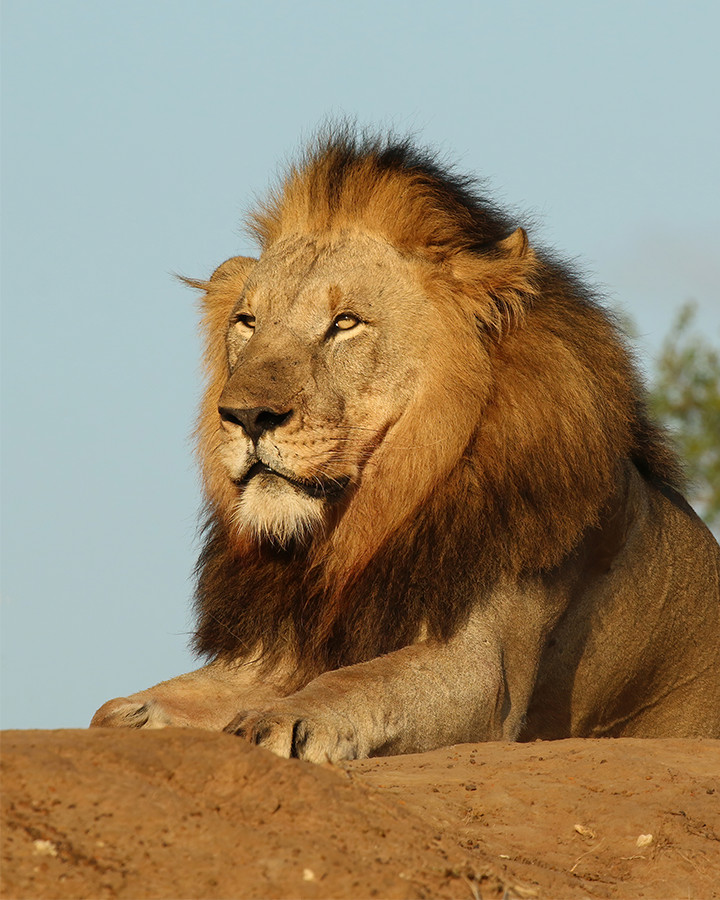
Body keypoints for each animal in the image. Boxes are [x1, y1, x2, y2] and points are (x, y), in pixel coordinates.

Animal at [91, 129, 720, 760]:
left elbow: (355, 681)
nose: (245, 416)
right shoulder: (281, 648)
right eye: (247, 321)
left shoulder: (482, 670)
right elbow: (136, 704)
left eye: (345, 323)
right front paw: (132, 721)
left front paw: (279, 720)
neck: (365, 526)